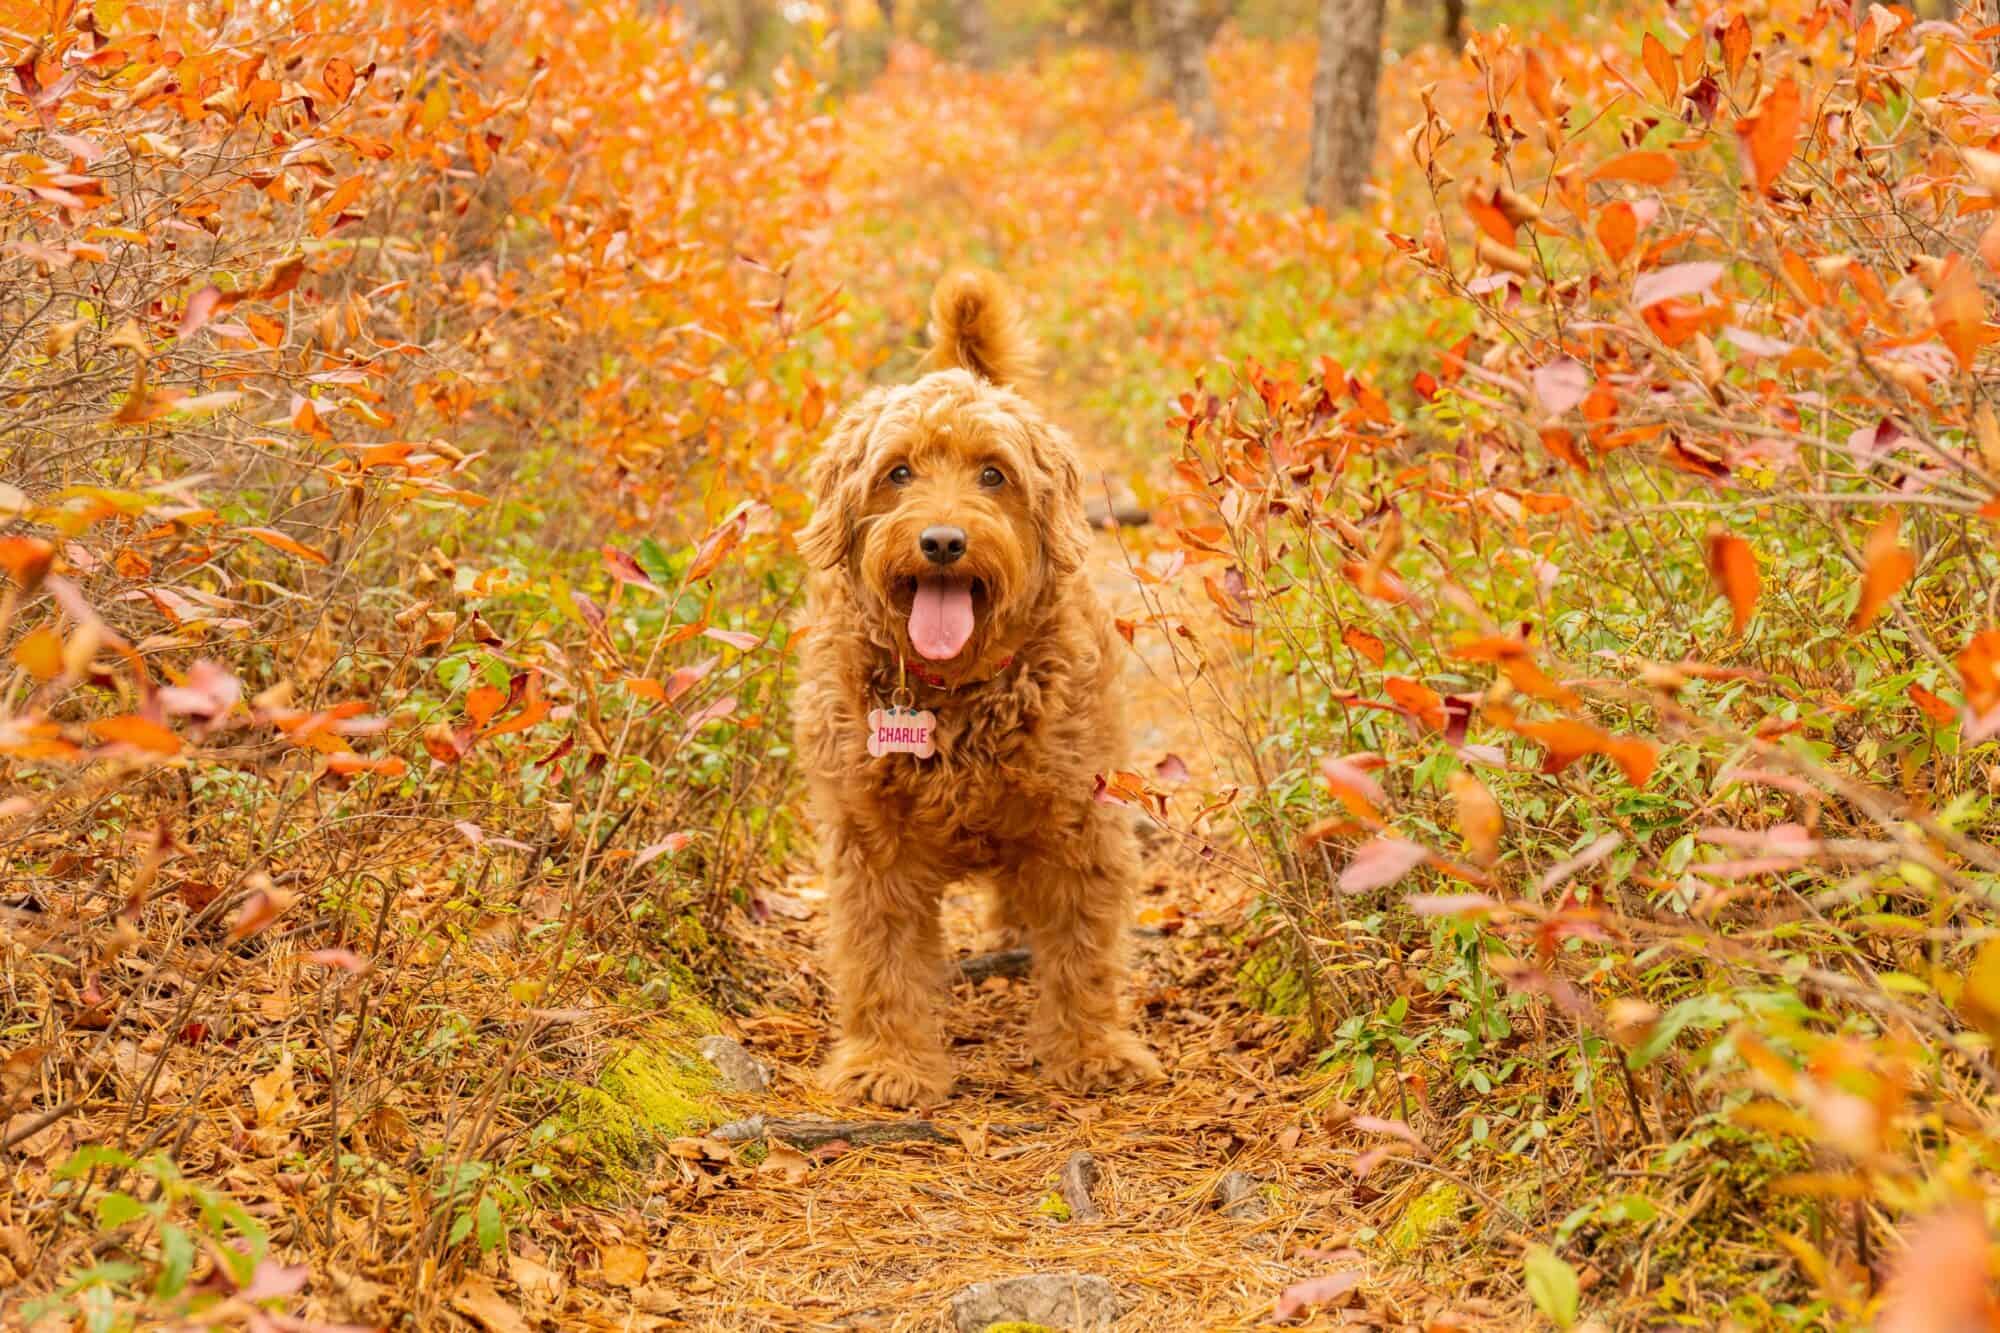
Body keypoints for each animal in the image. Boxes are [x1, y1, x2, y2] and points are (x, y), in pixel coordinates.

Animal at [792, 268, 1168, 1096]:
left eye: (993, 473)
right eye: (898, 471)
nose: (941, 541)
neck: (953, 692)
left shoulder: (1080, 824)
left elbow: (1085, 950)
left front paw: (1092, 1047)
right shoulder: (871, 841)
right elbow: (880, 959)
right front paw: (889, 1061)